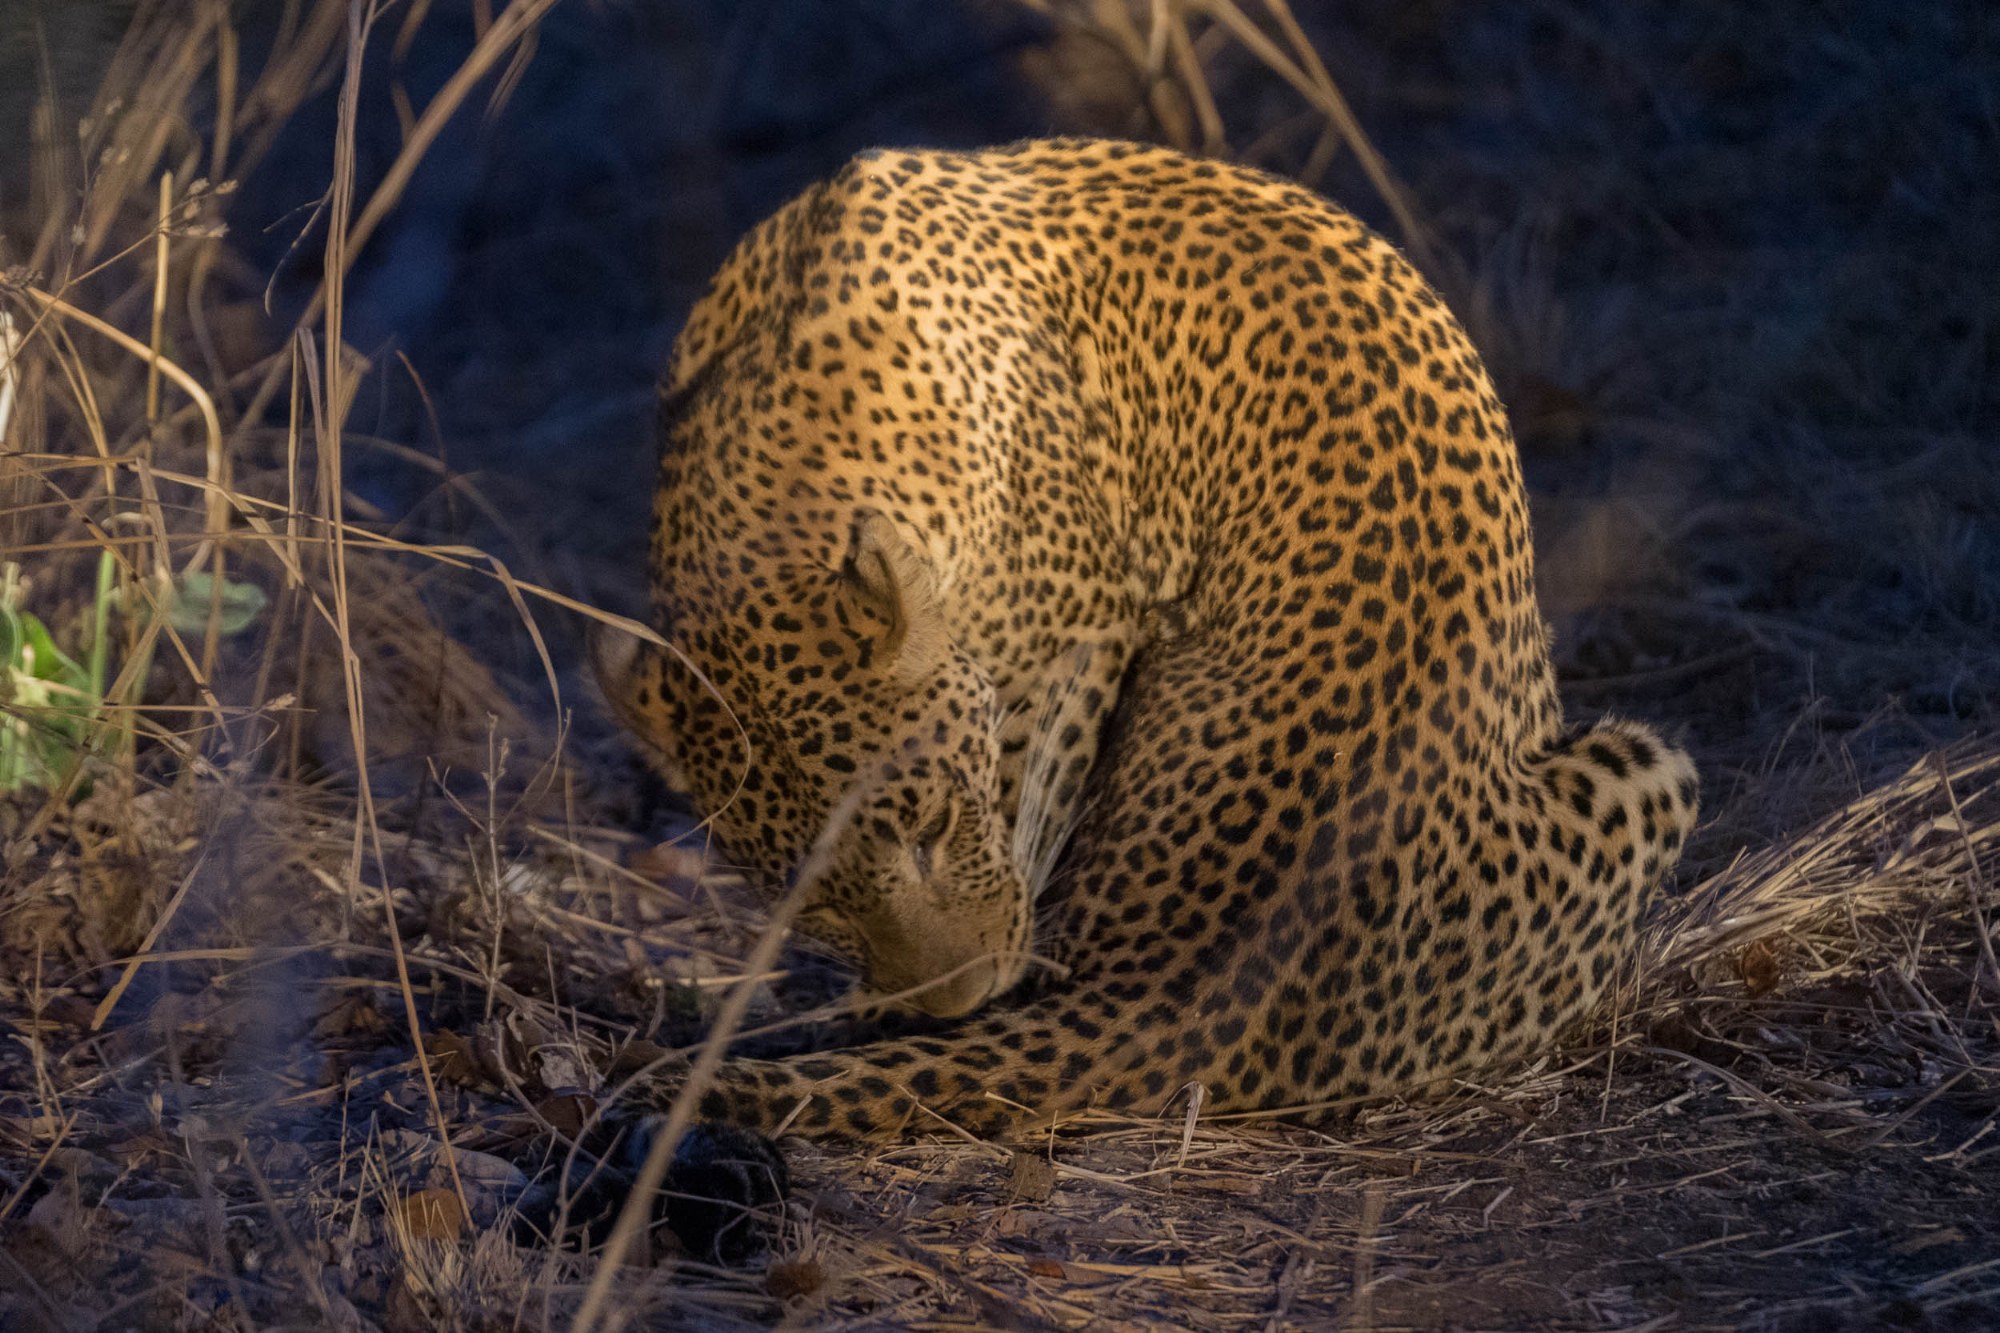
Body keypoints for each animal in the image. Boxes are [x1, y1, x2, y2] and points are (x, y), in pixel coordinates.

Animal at [593, 138, 1698, 1143]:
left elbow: (1025, 791)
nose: (958, 1000)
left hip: (1653, 765)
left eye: (932, 828)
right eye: (809, 900)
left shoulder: (1070, 643)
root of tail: (1181, 994)